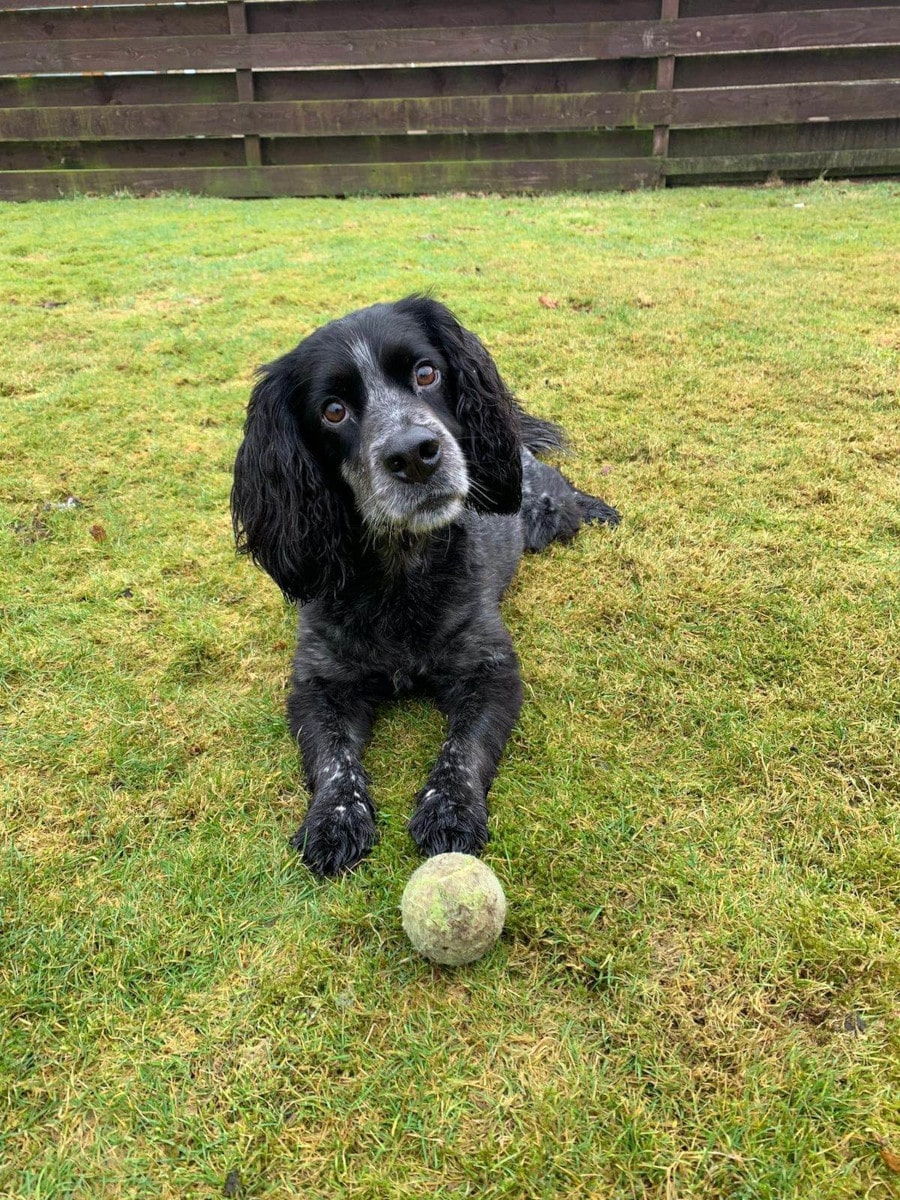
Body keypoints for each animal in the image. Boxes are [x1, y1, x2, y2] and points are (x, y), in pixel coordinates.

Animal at [230, 295, 619, 878]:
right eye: (332, 411)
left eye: (426, 373)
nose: (414, 454)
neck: (401, 572)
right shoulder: (317, 682)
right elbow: (332, 757)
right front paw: (334, 819)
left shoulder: (491, 670)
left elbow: (465, 746)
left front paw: (450, 808)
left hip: (544, 509)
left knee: (564, 493)